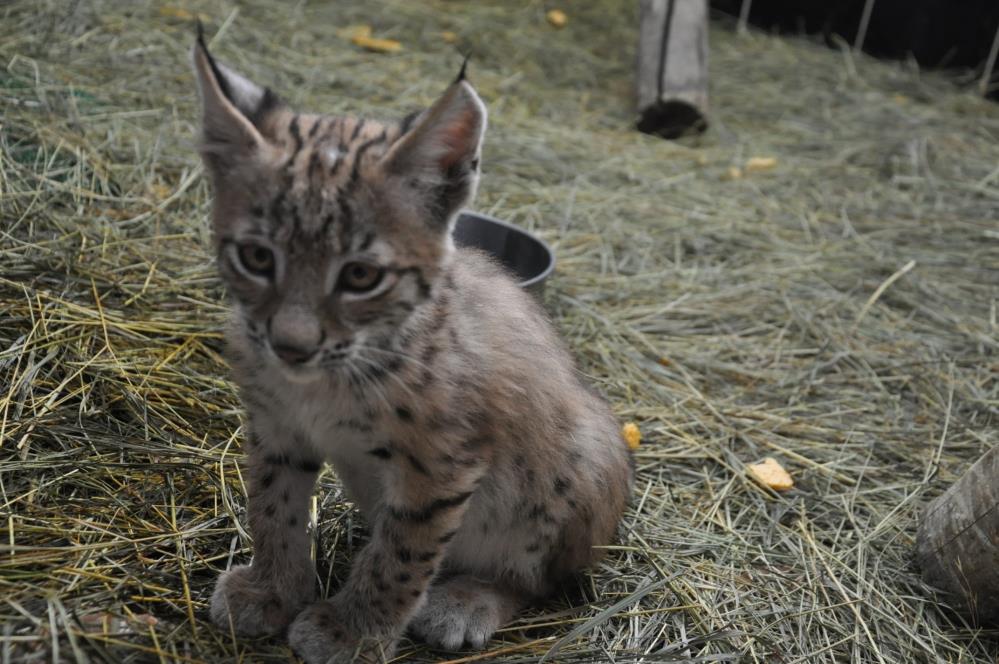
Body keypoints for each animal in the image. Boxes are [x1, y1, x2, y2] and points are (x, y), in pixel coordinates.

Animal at [194, 33, 632, 660]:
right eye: (256, 257)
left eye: (360, 276)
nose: (291, 347)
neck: (328, 377)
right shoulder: (276, 428)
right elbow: (271, 508)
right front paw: (271, 589)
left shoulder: (441, 467)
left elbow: (399, 555)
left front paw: (351, 631)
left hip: (584, 456)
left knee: (543, 581)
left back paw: (468, 599)